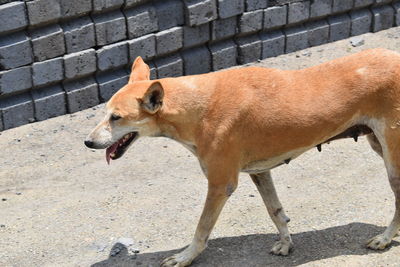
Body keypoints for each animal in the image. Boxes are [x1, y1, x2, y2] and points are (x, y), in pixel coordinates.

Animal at [84, 48, 400, 267]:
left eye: (116, 117)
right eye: (105, 112)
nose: (88, 142)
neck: (197, 107)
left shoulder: (220, 184)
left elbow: (202, 228)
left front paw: (186, 256)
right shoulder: (260, 172)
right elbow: (276, 212)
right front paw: (286, 244)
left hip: (393, 160)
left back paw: (385, 239)